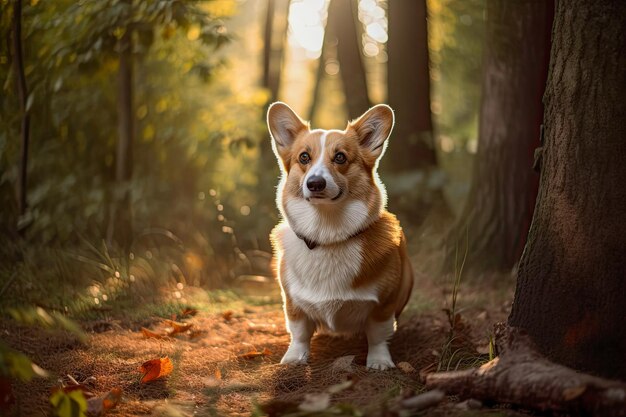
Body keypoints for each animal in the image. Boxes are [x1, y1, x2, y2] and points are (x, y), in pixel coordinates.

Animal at [266, 102, 412, 368]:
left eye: (340, 157)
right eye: (304, 157)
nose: (315, 183)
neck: (327, 235)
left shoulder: (384, 304)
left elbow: (378, 333)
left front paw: (379, 361)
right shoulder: (292, 300)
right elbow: (299, 331)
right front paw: (294, 357)